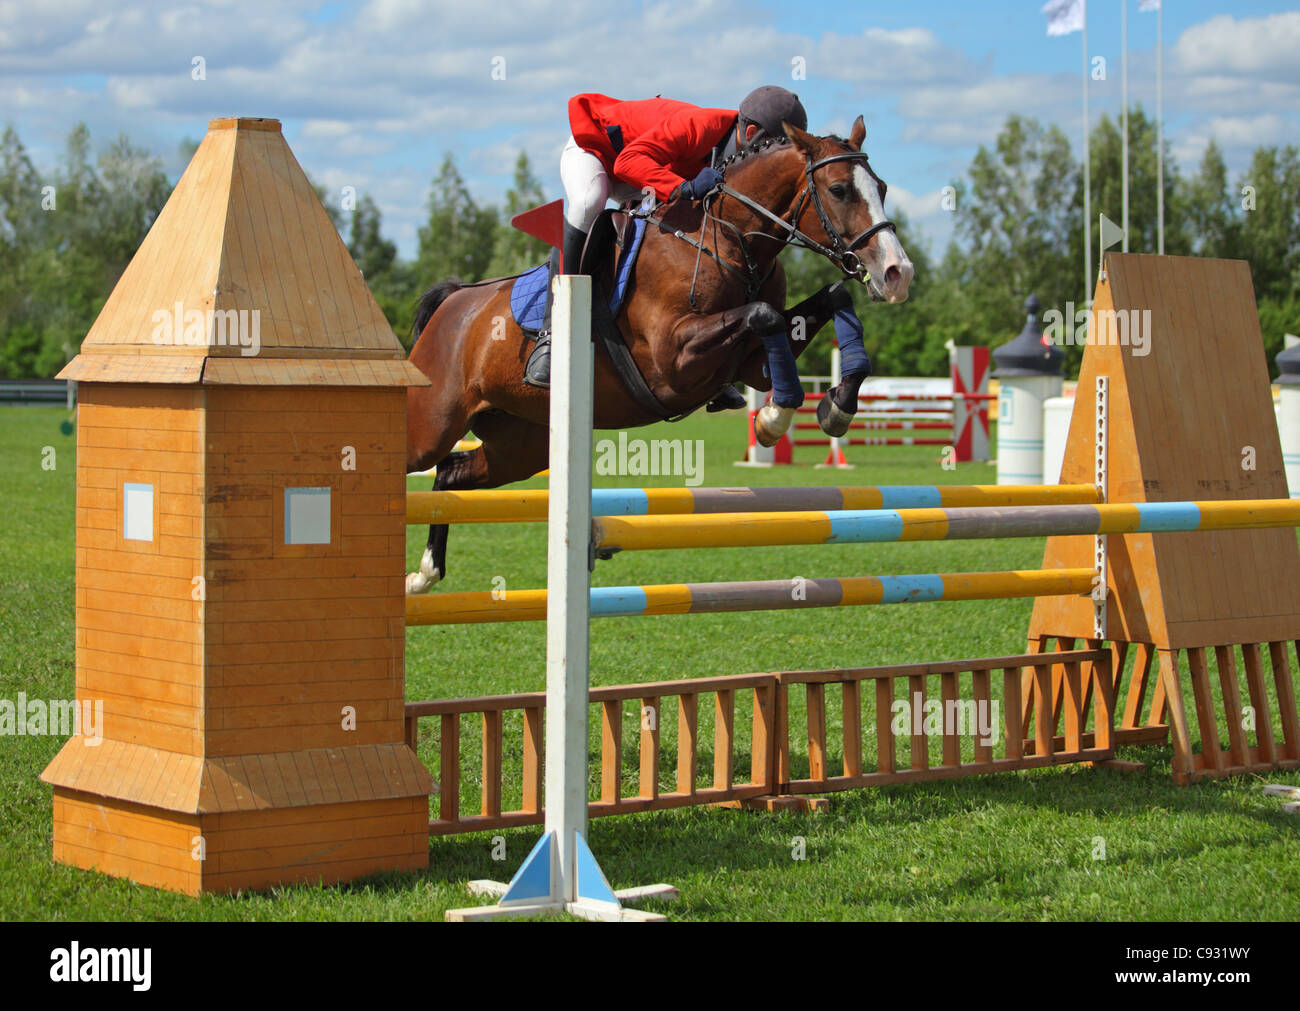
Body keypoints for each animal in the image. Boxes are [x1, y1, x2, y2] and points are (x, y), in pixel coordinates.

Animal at [405, 116, 915, 589]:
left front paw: (837, 406)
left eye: (883, 188)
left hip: (521, 443)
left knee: (451, 474)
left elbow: (830, 298)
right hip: (433, 423)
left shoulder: (752, 363)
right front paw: (774, 419)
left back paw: (425, 573)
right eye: (839, 190)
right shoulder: (673, 362)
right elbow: (763, 313)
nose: (897, 273)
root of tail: (455, 300)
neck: (728, 237)